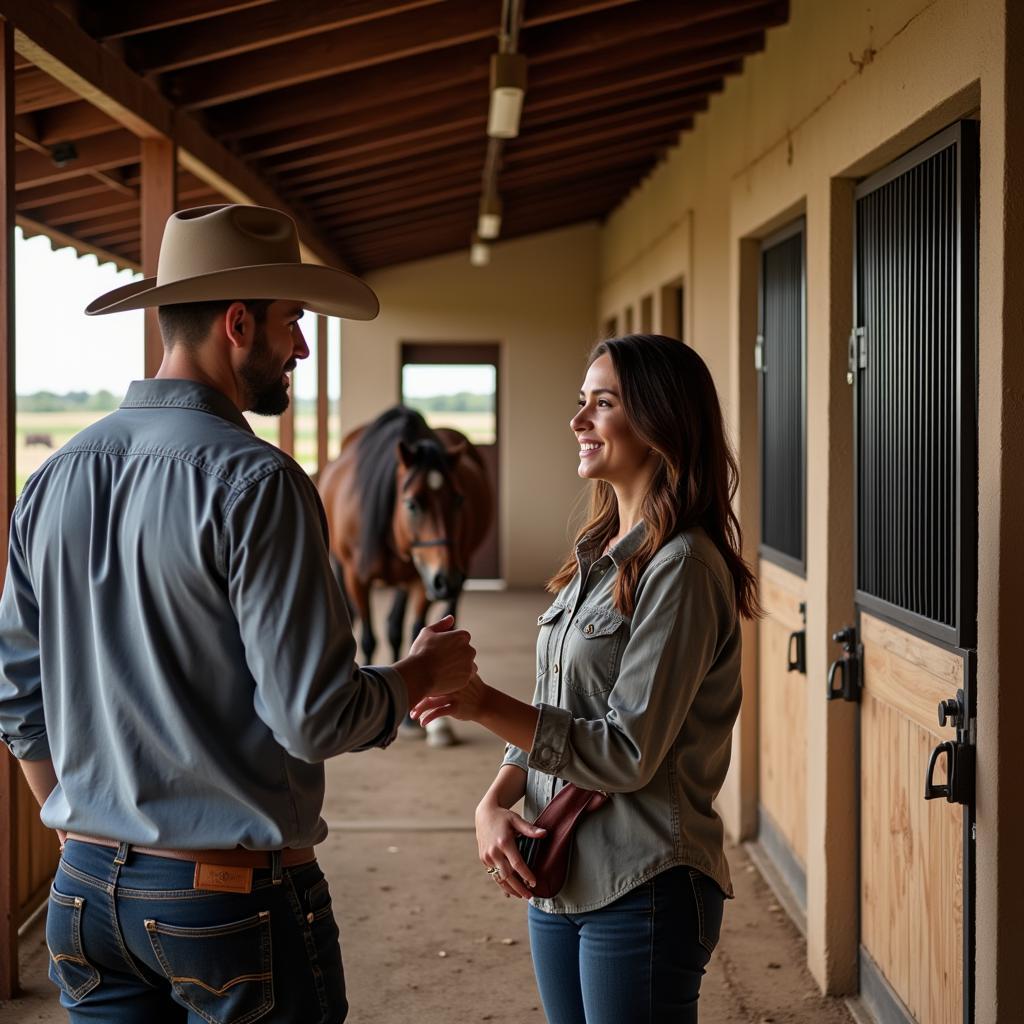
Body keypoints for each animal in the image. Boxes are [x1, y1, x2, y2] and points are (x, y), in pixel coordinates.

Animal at [319, 407, 495, 671]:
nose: (447, 580)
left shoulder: (423, 580)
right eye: (412, 504)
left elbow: (415, 632)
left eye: (458, 499)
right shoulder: (356, 578)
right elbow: (369, 640)